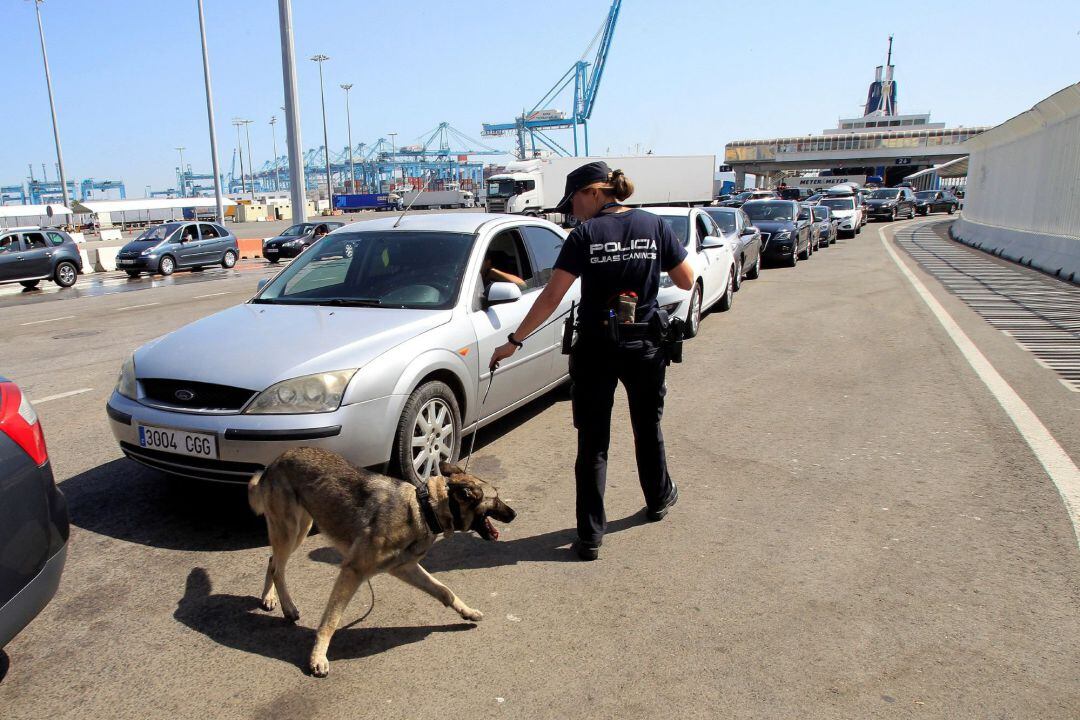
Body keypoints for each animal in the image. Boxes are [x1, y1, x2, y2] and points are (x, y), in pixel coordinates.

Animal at [247, 446, 516, 677]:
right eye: (496, 497)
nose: (514, 514)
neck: (423, 509)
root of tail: (274, 462)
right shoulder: (353, 571)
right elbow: (331, 620)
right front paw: (317, 658)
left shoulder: (404, 568)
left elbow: (444, 591)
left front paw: (467, 612)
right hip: (291, 531)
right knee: (278, 567)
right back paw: (287, 606)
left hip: (301, 528)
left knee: (272, 561)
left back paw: (269, 598)